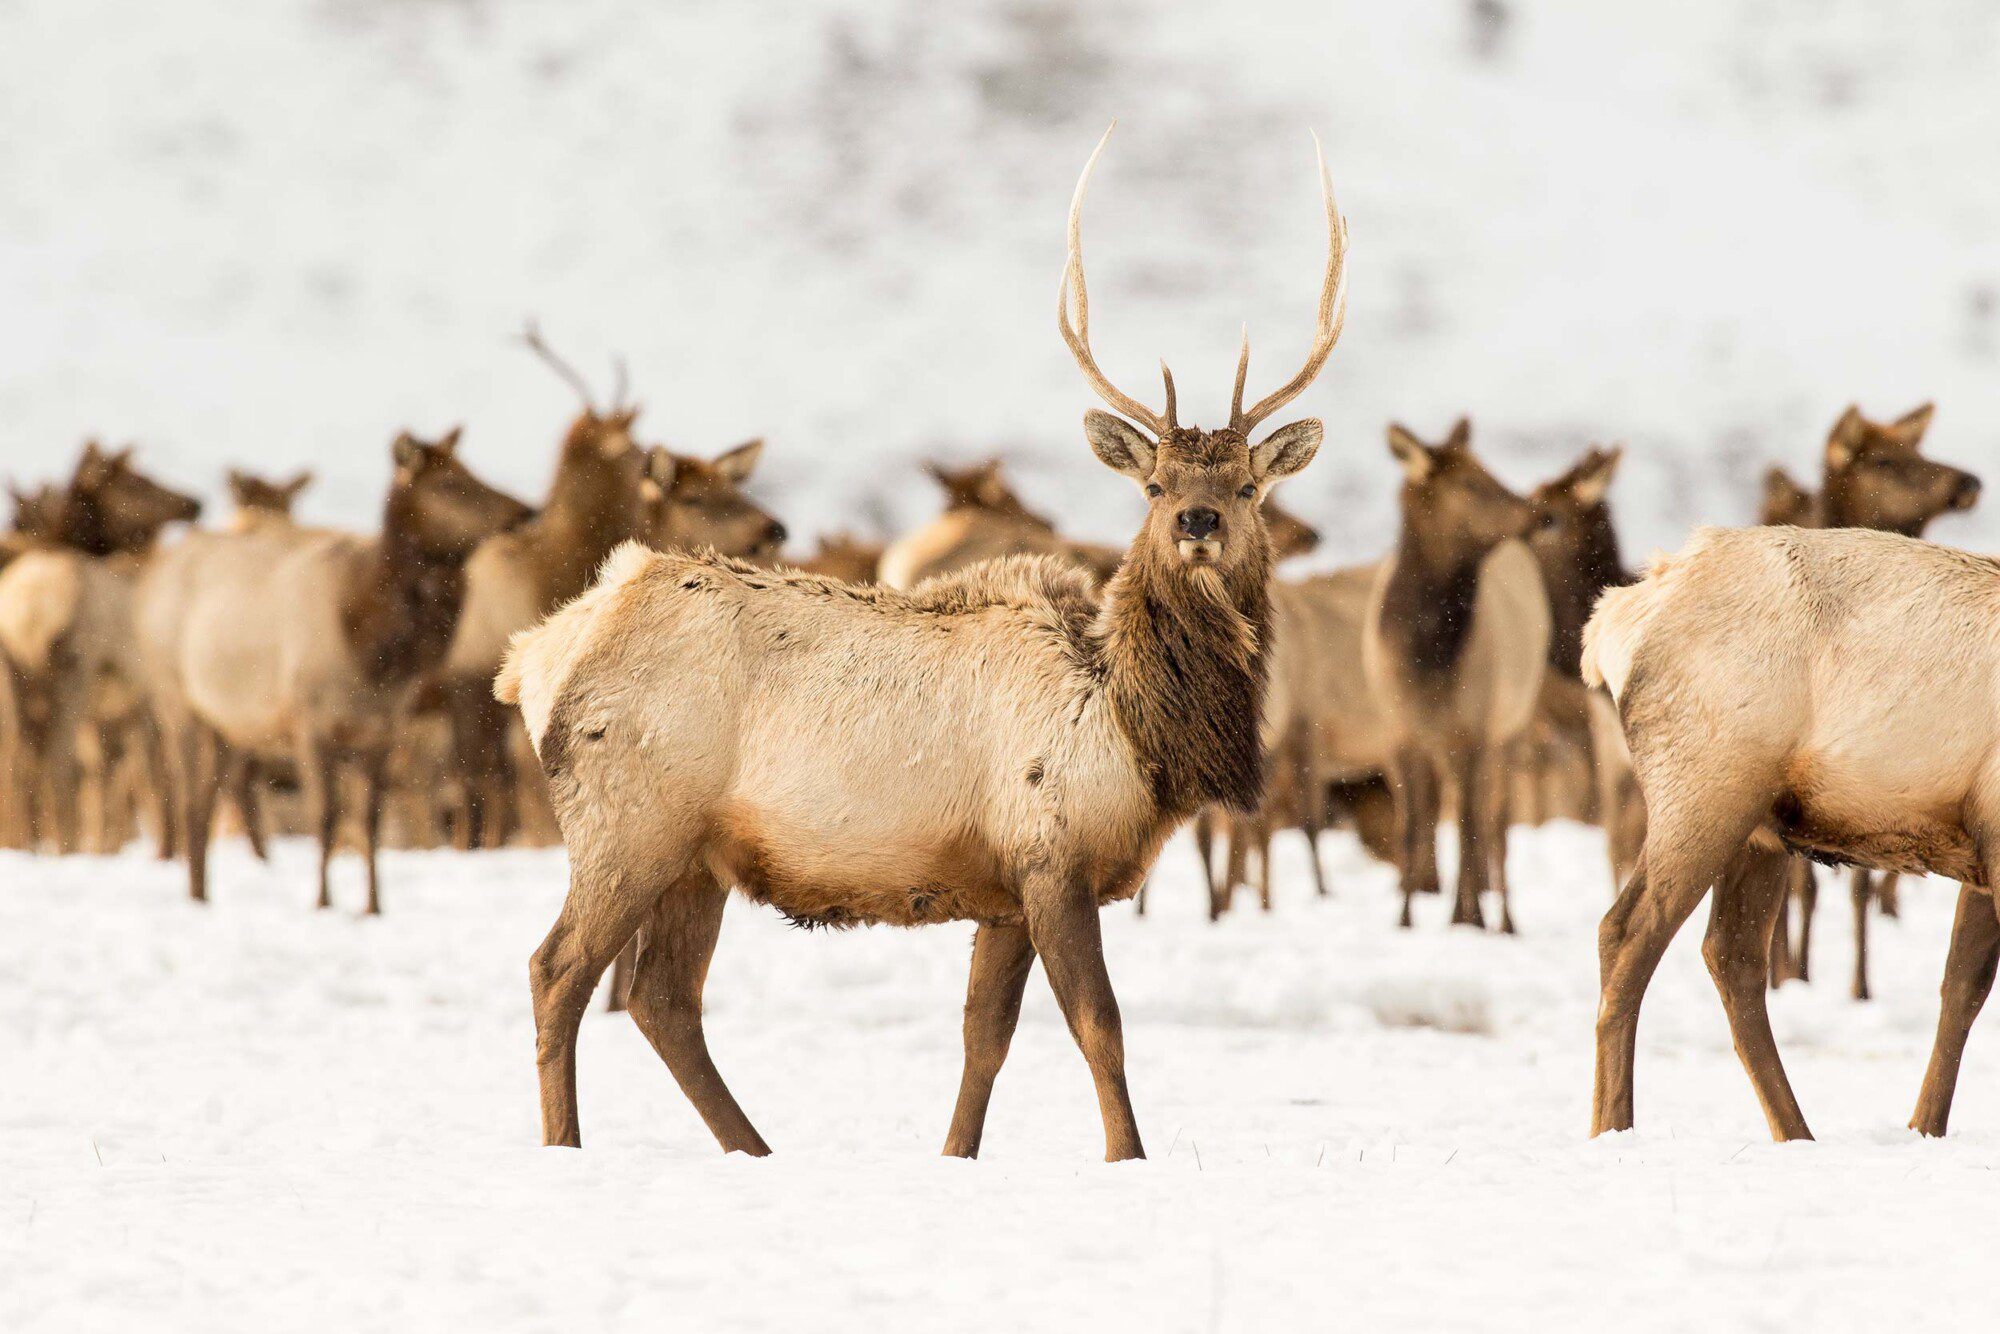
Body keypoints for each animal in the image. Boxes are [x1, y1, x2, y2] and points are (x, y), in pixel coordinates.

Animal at [0, 444, 202, 852]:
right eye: (138, 480)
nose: (194, 503)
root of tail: (30, 612)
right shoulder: (144, 700)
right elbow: (149, 777)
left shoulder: (112, 713)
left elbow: (109, 777)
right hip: (73, 673)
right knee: (60, 763)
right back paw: (65, 848)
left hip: (15, 678)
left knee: (19, 760)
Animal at [137, 428, 532, 910]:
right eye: (449, 484)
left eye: (473, 472)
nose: (524, 510)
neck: (374, 653)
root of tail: (152, 573)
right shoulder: (309, 721)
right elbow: (325, 817)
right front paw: (323, 903)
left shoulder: (381, 727)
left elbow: (369, 820)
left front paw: (374, 907)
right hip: (175, 699)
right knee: (189, 798)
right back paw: (195, 896)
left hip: (230, 723)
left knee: (212, 795)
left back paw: (203, 892)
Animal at [494, 124, 1347, 1158]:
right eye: (1154, 485)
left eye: (1249, 485)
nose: (1196, 521)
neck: (1134, 732)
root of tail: (535, 654)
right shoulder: (1049, 853)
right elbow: (1099, 1026)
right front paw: (1129, 1155)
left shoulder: (1008, 889)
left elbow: (986, 1036)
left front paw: (955, 1155)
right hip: (627, 822)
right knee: (557, 971)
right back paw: (567, 1145)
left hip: (697, 853)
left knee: (664, 1000)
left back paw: (756, 1150)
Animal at [1364, 420, 1551, 933]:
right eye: (1470, 483)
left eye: (1489, 472)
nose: (1541, 513)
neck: (1427, 658)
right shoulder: (1400, 731)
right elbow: (1412, 828)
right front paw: (1404, 918)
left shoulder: (1475, 729)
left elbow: (1470, 826)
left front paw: (1466, 920)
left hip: (1512, 724)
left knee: (1495, 824)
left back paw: (1504, 920)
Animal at [1583, 523, 2000, 1141]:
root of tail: (1617, 616)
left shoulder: (1978, 847)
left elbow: (1962, 986)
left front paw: (1924, 1129)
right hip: (1706, 790)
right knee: (1627, 933)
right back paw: (1613, 1127)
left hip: (1759, 832)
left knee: (1731, 956)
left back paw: (1795, 1133)